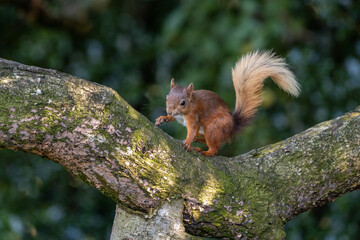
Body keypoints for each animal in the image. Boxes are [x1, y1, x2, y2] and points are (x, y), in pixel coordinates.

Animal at [156, 50, 300, 157]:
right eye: (166, 98)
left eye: (183, 103)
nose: (169, 110)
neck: (184, 112)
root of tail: (232, 128)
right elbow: (172, 119)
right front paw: (163, 118)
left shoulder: (194, 117)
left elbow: (192, 131)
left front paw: (187, 142)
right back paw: (199, 141)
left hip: (213, 128)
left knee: (215, 147)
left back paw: (206, 151)